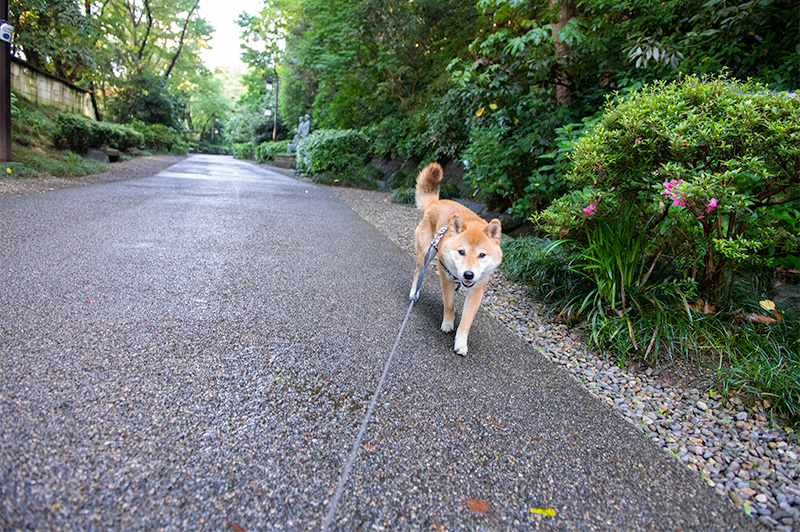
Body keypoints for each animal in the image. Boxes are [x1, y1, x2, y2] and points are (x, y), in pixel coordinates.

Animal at [410, 160, 504, 356]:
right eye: (461, 252)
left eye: (482, 255)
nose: (469, 274)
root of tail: (436, 202)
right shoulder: (445, 276)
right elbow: (449, 304)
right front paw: (447, 323)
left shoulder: (477, 289)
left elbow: (466, 321)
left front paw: (460, 343)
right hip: (426, 255)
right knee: (417, 272)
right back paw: (414, 293)